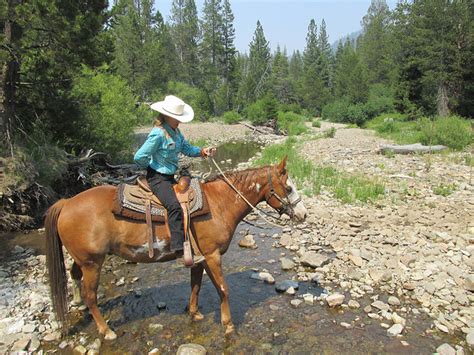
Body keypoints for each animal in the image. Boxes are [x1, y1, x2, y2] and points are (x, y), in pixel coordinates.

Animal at [45, 157, 308, 340]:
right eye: (289, 188)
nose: (304, 215)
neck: (219, 203)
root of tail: (66, 203)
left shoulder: (199, 258)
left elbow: (196, 286)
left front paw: (194, 313)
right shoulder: (212, 256)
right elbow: (223, 289)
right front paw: (228, 325)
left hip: (82, 260)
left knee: (74, 275)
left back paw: (78, 303)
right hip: (93, 263)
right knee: (91, 296)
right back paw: (106, 330)